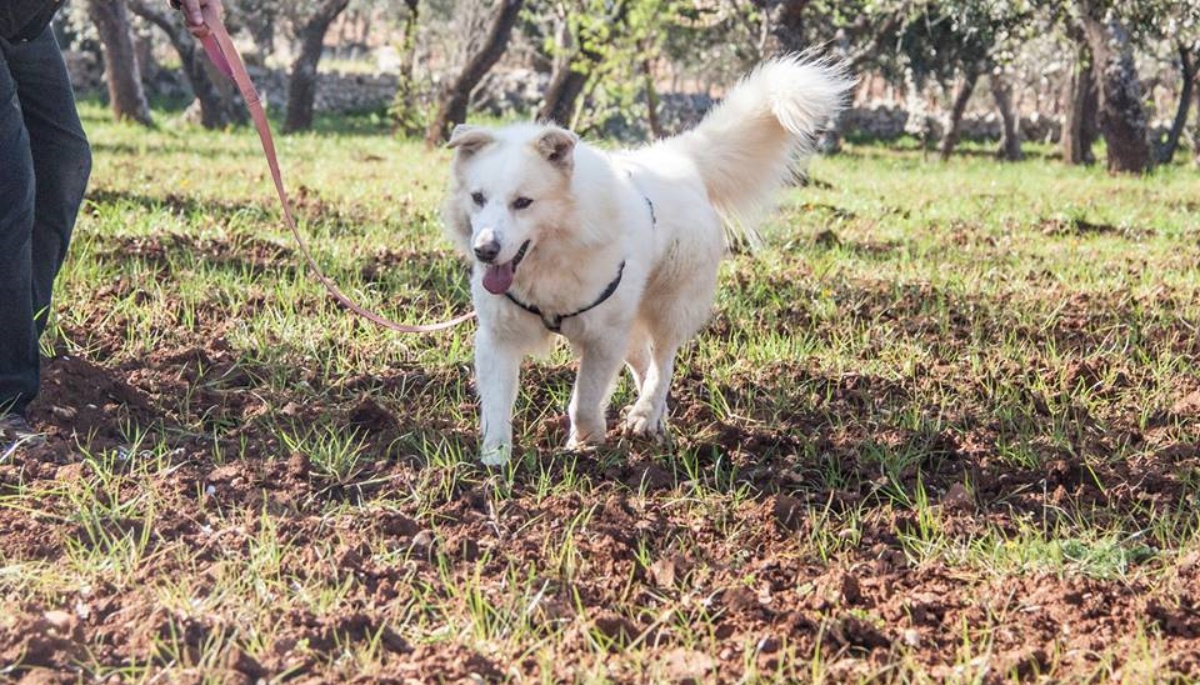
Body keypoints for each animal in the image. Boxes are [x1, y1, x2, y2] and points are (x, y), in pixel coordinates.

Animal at [444, 54, 854, 465]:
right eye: (478, 197)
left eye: (523, 202)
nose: (485, 250)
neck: (551, 254)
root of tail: (681, 157)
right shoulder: (499, 337)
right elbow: (497, 404)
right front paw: (496, 459)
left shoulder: (603, 338)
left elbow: (585, 400)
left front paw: (586, 441)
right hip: (631, 318)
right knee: (643, 360)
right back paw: (654, 417)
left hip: (669, 305)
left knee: (663, 363)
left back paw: (645, 414)